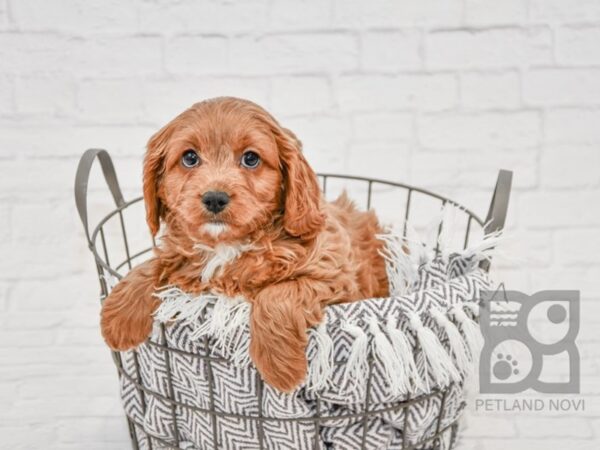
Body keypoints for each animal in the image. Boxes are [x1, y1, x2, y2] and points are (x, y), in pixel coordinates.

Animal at [101, 96, 392, 392]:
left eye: (251, 158)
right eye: (190, 158)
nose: (215, 198)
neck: (228, 245)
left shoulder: (335, 276)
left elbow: (275, 294)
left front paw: (280, 366)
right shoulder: (182, 256)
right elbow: (153, 263)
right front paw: (118, 319)